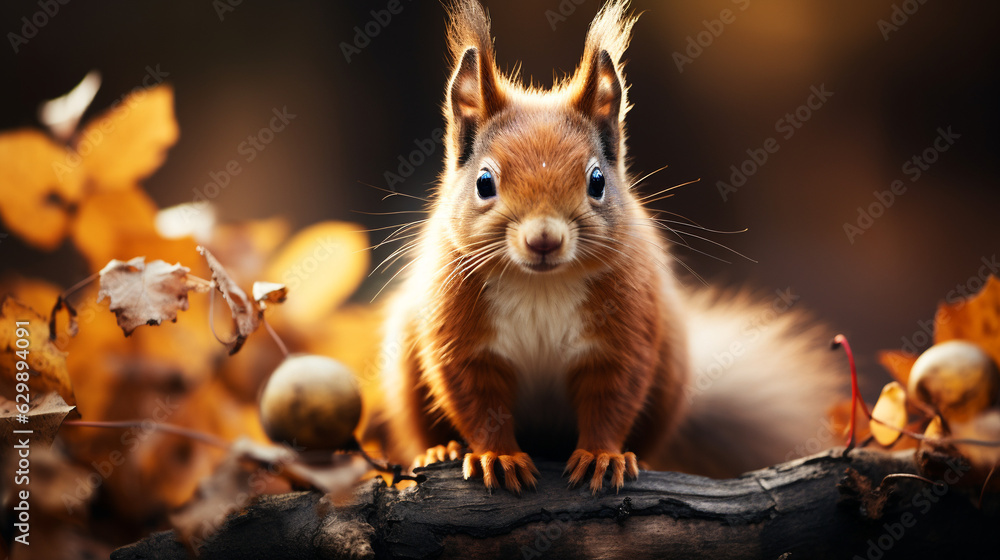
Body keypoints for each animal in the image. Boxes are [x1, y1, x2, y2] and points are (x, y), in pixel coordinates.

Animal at [370, 0, 841, 494]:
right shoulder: (460, 336)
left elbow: (610, 402)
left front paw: (601, 457)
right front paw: (498, 456)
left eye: (597, 180)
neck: (541, 285)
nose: (544, 239)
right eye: (484, 182)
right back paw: (440, 449)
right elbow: (480, 404)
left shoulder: (625, 335)